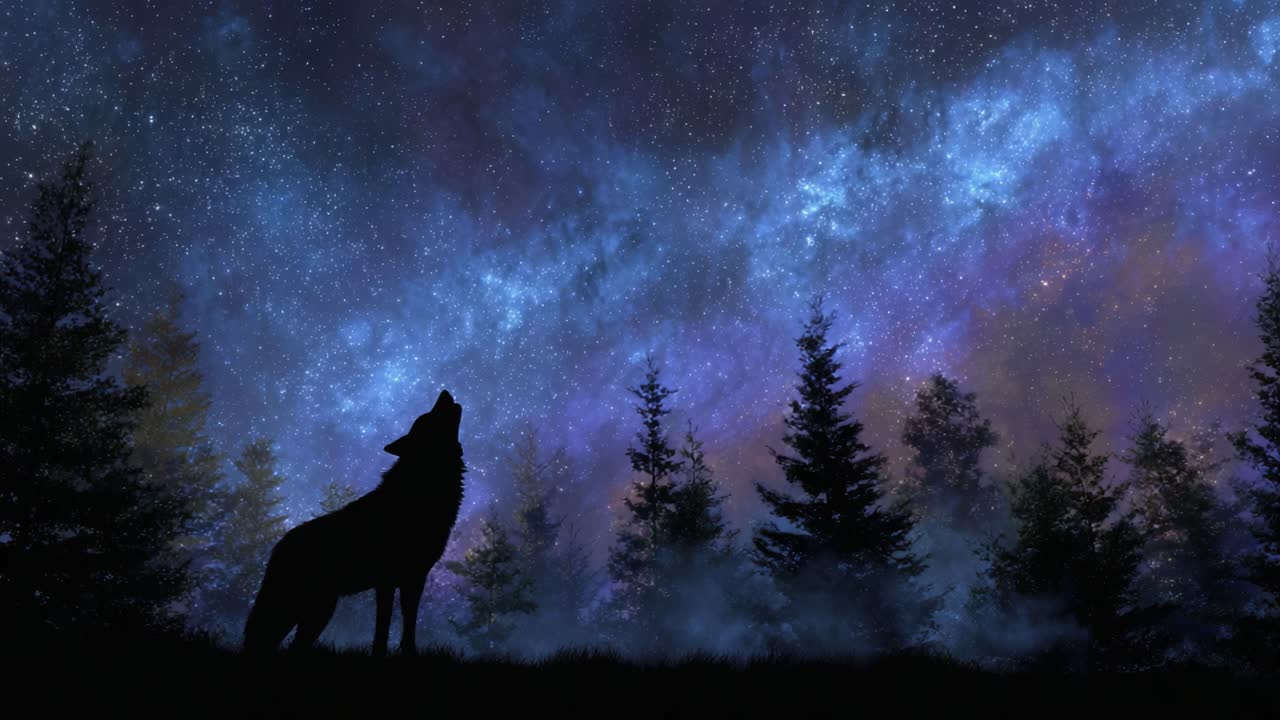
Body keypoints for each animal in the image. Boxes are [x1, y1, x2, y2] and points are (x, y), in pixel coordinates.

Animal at [243, 389, 465, 655]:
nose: (444, 392)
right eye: (427, 417)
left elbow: (409, 625)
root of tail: (278, 546)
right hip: (302, 610)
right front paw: (379, 654)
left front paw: (409, 654)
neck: (423, 489)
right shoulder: (387, 582)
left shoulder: (415, 578)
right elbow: (382, 627)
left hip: (317, 613)